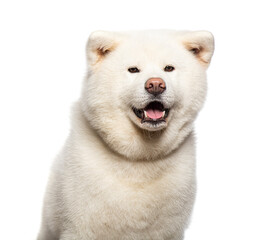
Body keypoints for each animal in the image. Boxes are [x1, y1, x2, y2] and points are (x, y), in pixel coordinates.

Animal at [38, 30, 214, 240]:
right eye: (133, 70)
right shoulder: (81, 227)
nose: (156, 84)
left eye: (169, 68)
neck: (140, 157)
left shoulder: (169, 229)